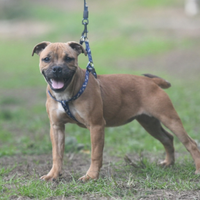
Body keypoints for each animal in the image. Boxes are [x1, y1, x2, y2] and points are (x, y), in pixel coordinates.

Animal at [32, 40, 200, 181]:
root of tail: (151, 81)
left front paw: (91, 176)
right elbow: (57, 154)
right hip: (150, 123)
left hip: (170, 119)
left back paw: (197, 169)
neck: (67, 93)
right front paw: (53, 175)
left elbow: (95, 154)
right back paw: (169, 163)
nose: (57, 69)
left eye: (69, 58)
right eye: (46, 59)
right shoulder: (57, 127)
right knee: (167, 138)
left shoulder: (96, 126)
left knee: (190, 143)